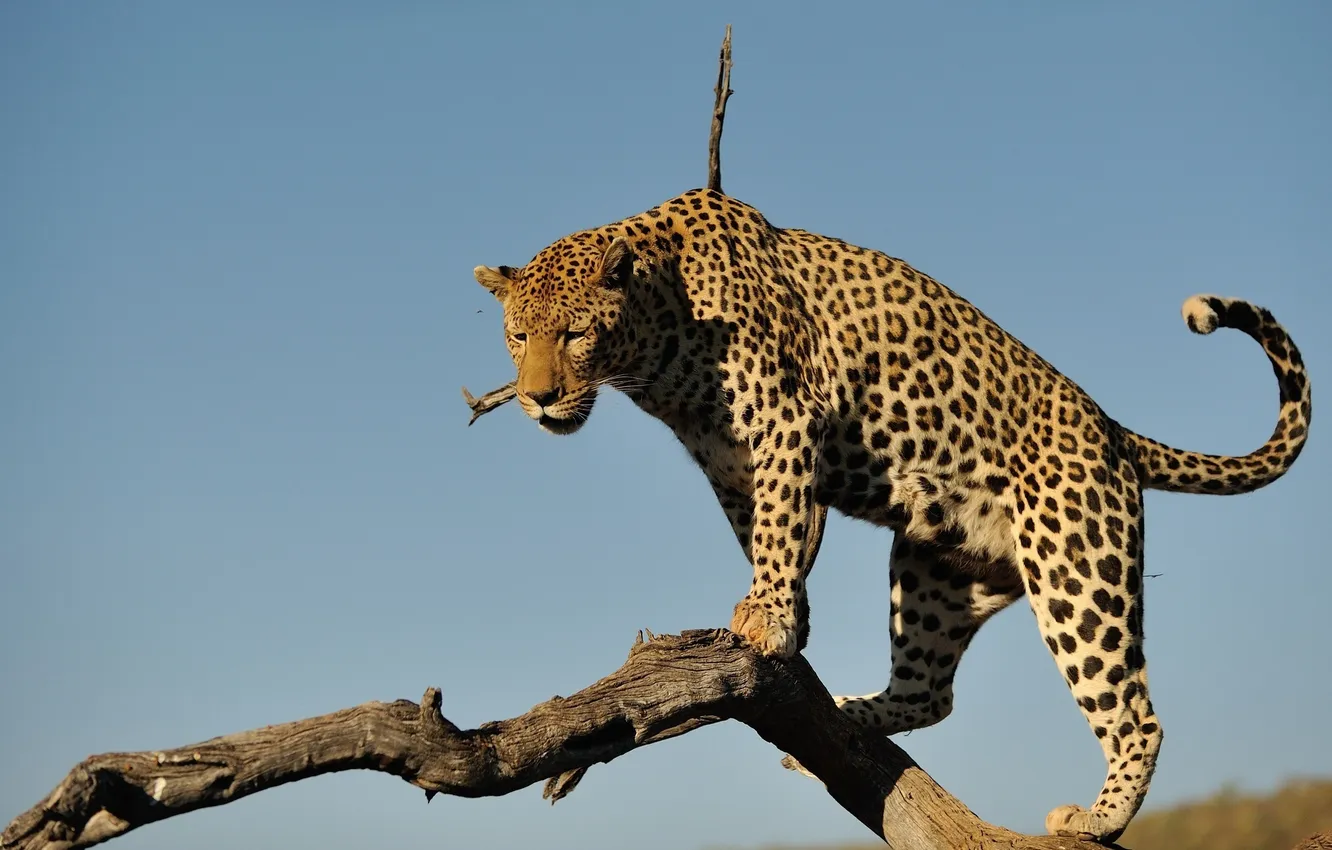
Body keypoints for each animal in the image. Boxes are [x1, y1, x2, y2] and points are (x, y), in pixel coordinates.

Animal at [471, 188, 1311, 842]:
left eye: (575, 333)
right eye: (516, 336)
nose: (538, 397)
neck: (657, 340)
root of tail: (1112, 428)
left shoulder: (784, 424)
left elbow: (778, 530)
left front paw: (766, 619)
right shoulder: (729, 461)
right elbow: (772, 534)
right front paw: (789, 620)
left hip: (1076, 567)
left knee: (1134, 712)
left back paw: (1098, 819)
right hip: (935, 569)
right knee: (932, 693)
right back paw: (848, 716)